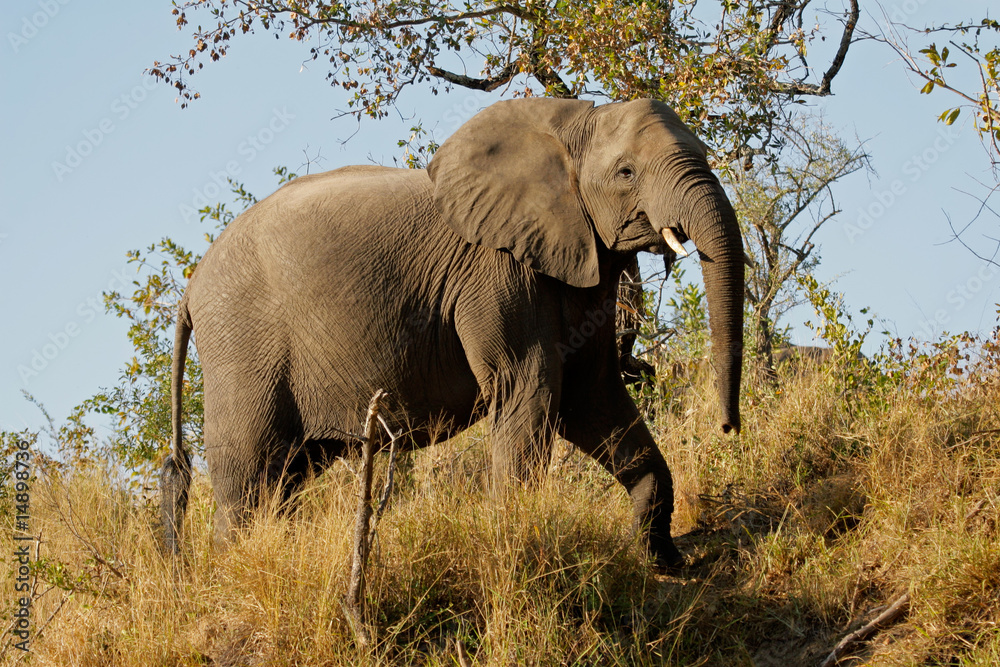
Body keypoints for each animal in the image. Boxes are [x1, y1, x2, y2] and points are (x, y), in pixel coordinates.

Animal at [161, 97, 745, 569]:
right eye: (626, 172)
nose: (728, 427)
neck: (570, 125)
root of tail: (190, 288)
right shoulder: (497, 270)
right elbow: (530, 388)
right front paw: (517, 543)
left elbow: (593, 394)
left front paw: (668, 565)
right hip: (242, 345)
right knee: (248, 479)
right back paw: (236, 572)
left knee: (283, 479)